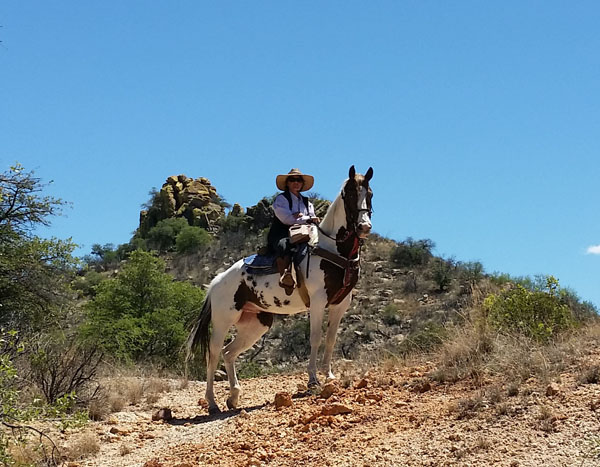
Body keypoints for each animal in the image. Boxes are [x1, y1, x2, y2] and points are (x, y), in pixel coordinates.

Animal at [189, 166, 376, 414]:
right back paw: (212, 402)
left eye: (370, 194)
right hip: (223, 321)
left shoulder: (340, 304)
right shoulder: (318, 302)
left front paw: (329, 376)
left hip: (255, 325)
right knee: (213, 354)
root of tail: (216, 282)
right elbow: (315, 338)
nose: (364, 227)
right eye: (351, 194)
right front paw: (313, 380)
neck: (333, 250)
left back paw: (234, 397)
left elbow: (330, 339)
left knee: (229, 353)